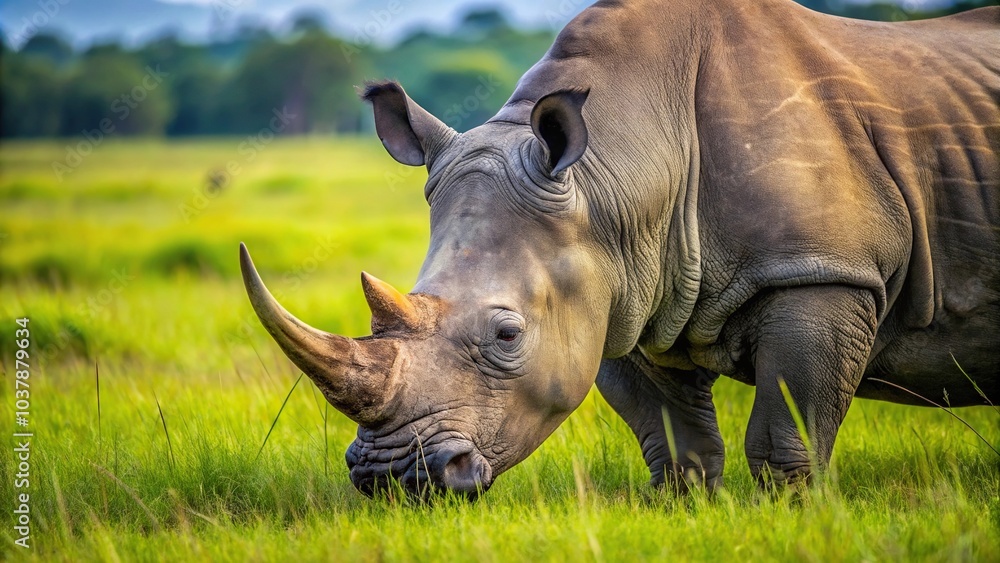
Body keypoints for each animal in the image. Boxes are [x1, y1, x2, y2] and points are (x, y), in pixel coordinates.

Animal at [239, 0, 1000, 497]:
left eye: (507, 334)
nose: (393, 478)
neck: (617, 173)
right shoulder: (621, 288)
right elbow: (674, 439)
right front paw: (689, 509)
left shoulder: (820, 272)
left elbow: (788, 430)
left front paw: (793, 513)